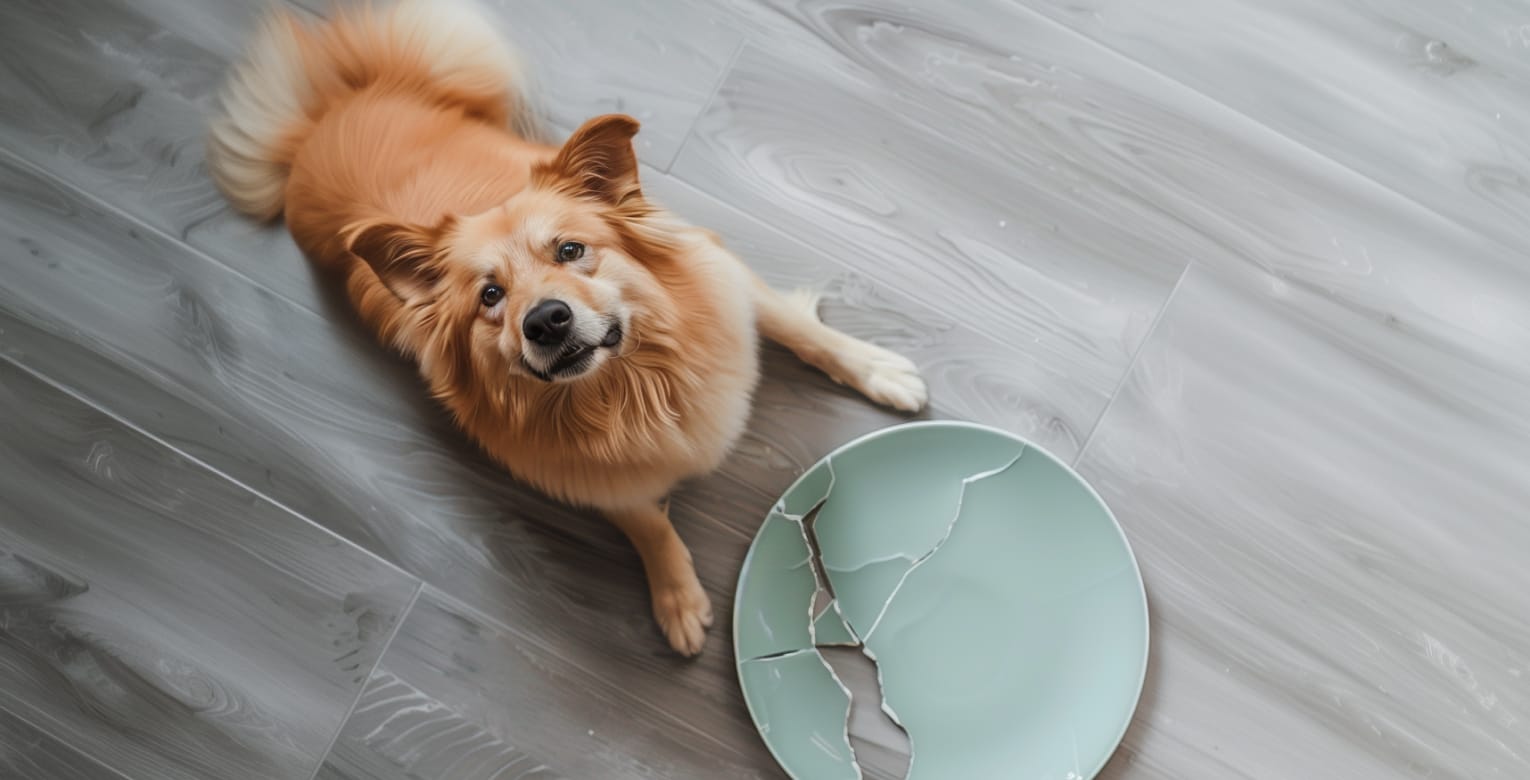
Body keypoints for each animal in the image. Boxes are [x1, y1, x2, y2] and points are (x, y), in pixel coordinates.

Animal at [208, 0, 924, 654]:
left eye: (570, 250)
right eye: (490, 295)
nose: (547, 321)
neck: (633, 387)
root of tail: (335, 108)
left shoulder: (727, 279)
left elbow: (803, 330)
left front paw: (877, 370)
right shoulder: (589, 478)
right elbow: (645, 522)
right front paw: (676, 596)